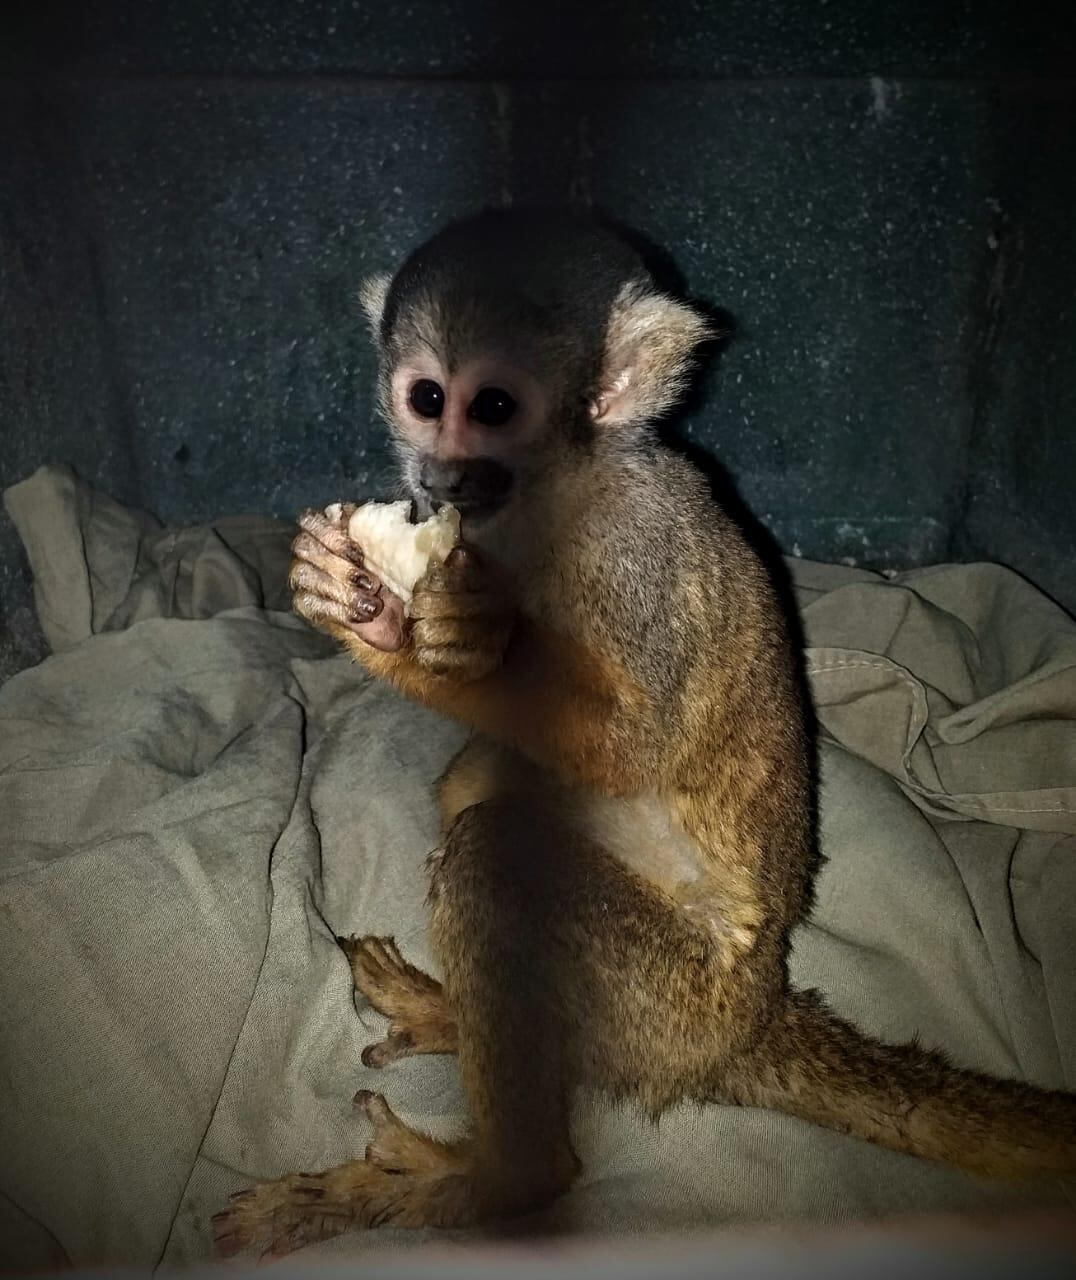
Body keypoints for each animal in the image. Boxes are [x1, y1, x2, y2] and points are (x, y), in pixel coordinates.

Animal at [212, 209, 1074, 1259]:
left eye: (493, 405)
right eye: (426, 398)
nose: (441, 471)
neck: (549, 496)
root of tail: (747, 1022)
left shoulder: (631, 558)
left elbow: (627, 746)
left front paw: (461, 635)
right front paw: (362, 602)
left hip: (659, 999)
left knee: (495, 858)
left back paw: (496, 1177)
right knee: (478, 783)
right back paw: (459, 1021)